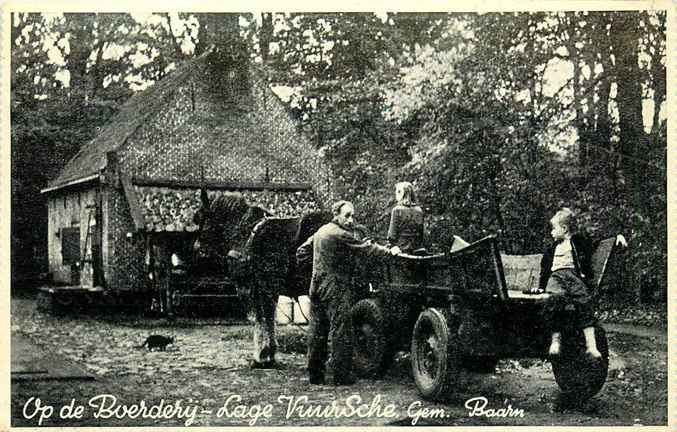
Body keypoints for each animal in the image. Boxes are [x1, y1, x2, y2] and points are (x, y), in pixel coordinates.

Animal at [193, 191, 330, 366]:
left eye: (201, 217)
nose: (197, 248)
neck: (244, 234)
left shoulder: (253, 288)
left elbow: (260, 319)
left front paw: (261, 355)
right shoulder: (269, 290)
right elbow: (269, 318)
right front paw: (269, 353)